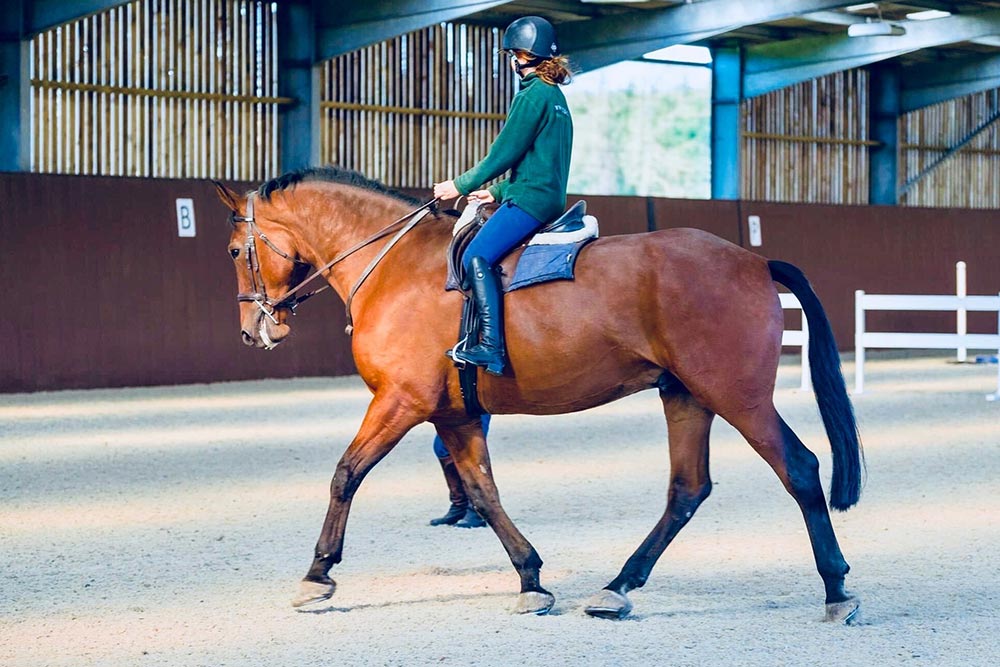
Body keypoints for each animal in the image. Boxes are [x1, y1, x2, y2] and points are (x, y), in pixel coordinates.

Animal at [213, 166, 864, 623]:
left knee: (800, 468)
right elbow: (483, 493)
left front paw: (317, 575)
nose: (251, 331)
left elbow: (346, 473)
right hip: (686, 396)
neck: (393, 267)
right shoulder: (453, 415)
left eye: (235, 252)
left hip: (737, 396)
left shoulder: (400, 403)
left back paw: (836, 588)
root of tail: (753, 260)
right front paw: (531, 580)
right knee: (687, 490)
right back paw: (617, 589)